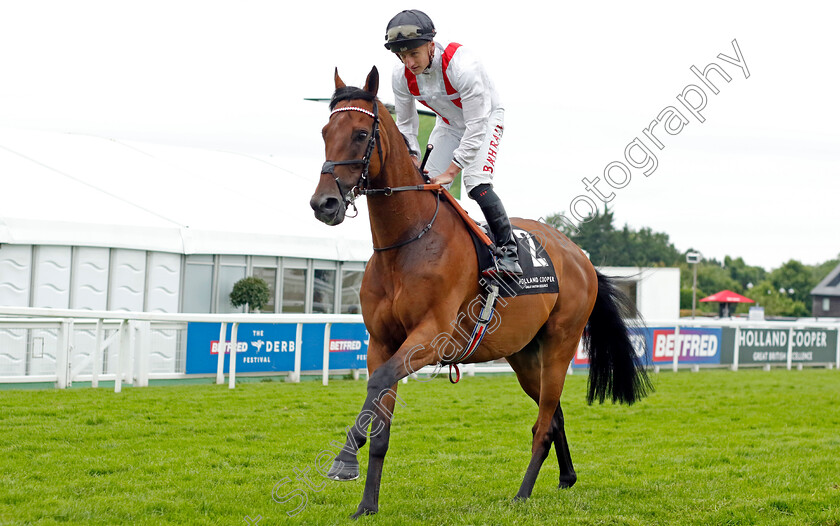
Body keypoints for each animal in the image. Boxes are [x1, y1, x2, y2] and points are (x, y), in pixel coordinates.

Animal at [308, 66, 648, 520]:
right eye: (326, 131)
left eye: (362, 134)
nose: (324, 204)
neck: (407, 243)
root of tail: (580, 257)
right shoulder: (381, 343)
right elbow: (381, 421)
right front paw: (366, 504)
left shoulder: (431, 338)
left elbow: (379, 385)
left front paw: (345, 459)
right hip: (524, 354)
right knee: (553, 414)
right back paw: (566, 477)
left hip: (560, 344)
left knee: (544, 424)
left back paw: (522, 493)